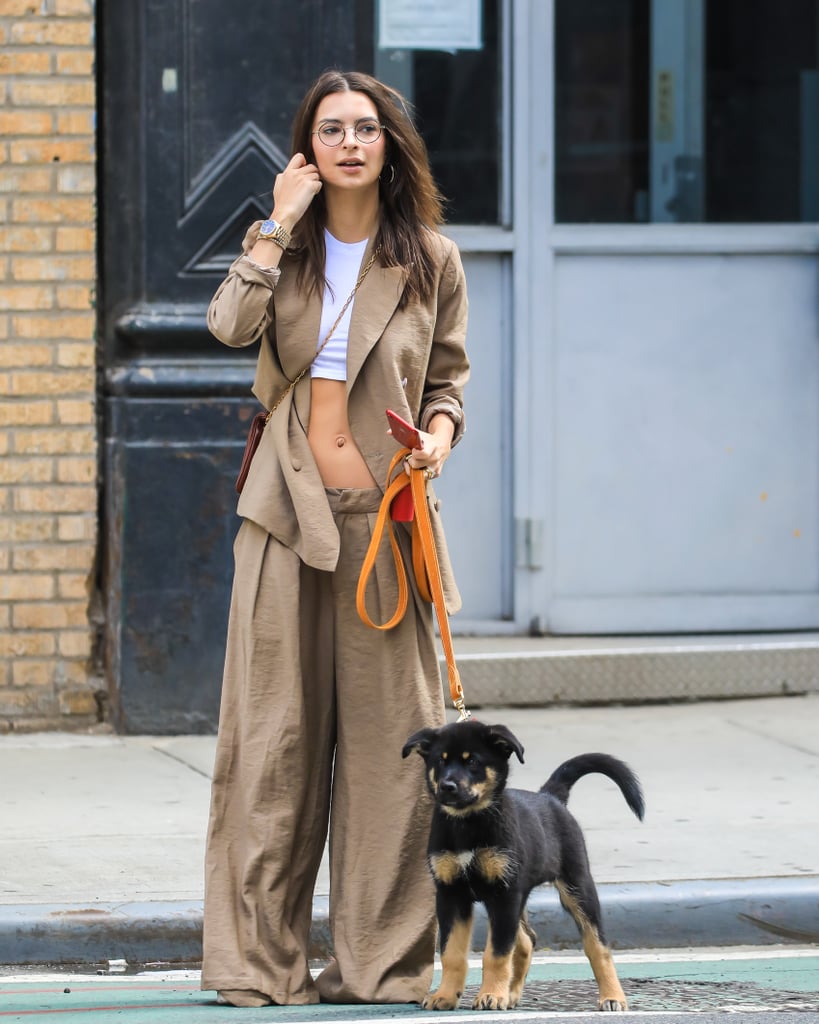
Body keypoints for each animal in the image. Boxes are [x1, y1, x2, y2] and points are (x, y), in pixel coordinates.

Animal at [403, 716, 647, 1011]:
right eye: (440, 761)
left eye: (473, 762)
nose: (447, 787)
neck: (468, 824)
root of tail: (550, 797)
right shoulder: (452, 894)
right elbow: (452, 953)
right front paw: (446, 996)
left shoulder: (504, 893)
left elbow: (496, 954)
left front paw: (491, 995)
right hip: (519, 896)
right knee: (527, 940)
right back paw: (511, 994)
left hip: (577, 885)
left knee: (597, 946)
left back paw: (612, 997)